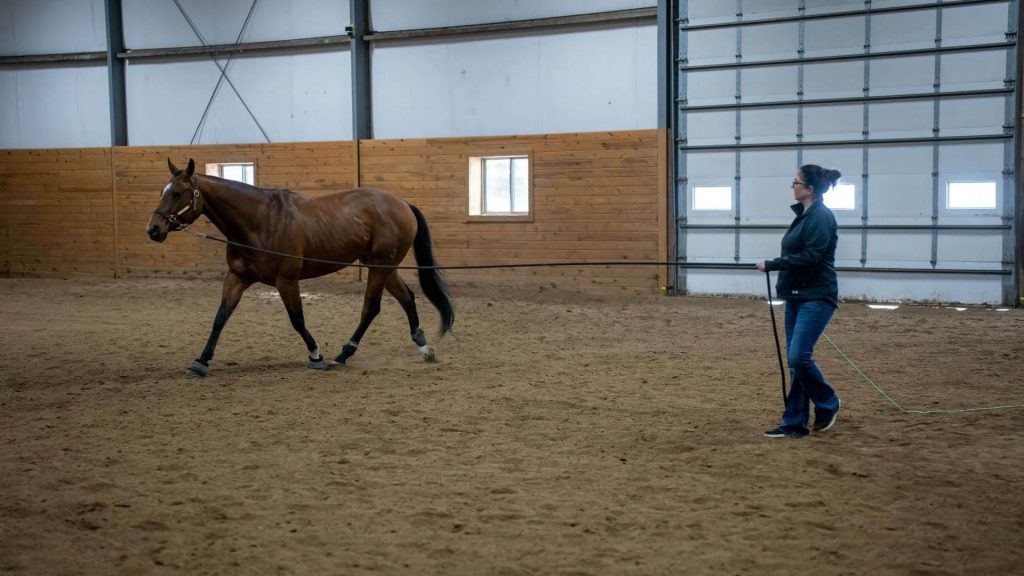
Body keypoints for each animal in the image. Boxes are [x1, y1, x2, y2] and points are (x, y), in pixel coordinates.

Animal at [146, 158, 455, 377]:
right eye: (162, 191)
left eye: (177, 193)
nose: (153, 229)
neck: (259, 221)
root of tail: (402, 203)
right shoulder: (237, 277)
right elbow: (220, 317)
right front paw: (201, 361)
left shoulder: (286, 280)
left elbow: (297, 319)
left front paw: (316, 356)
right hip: (382, 266)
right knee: (406, 298)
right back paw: (424, 347)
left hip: (379, 266)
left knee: (371, 307)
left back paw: (344, 354)